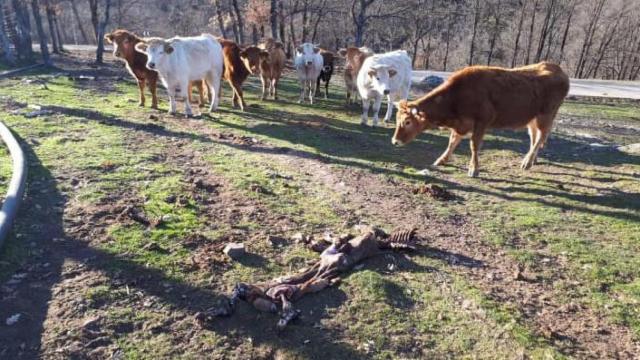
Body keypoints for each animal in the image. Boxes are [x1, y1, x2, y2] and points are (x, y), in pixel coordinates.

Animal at [392, 61, 568, 177]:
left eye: (407, 122)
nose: (395, 141)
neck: (457, 96)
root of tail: (557, 68)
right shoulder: (461, 124)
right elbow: (452, 141)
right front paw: (442, 159)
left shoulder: (482, 122)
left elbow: (474, 146)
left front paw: (473, 169)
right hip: (532, 119)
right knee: (534, 137)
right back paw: (532, 159)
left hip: (545, 116)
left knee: (541, 137)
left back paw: (527, 162)